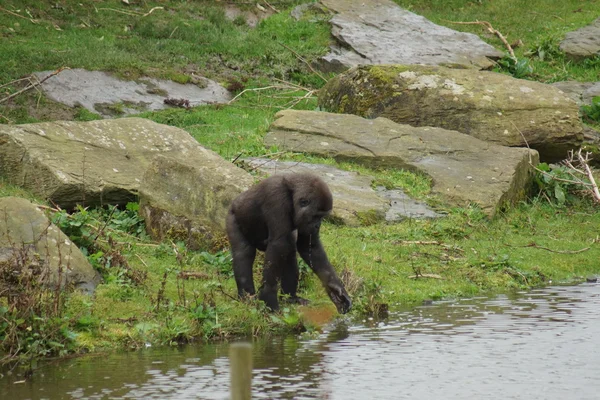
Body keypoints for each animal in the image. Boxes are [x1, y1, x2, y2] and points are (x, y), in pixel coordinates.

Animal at [227, 173, 354, 314]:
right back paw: (246, 298)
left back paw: (291, 298)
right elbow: (278, 245)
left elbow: (309, 246)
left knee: (289, 249)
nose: (317, 226)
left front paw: (335, 289)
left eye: (322, 217)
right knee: (244, 254)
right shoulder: (277, 198)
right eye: (316, 216)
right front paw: (268, 296)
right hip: (232, 217)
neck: (292, 194)